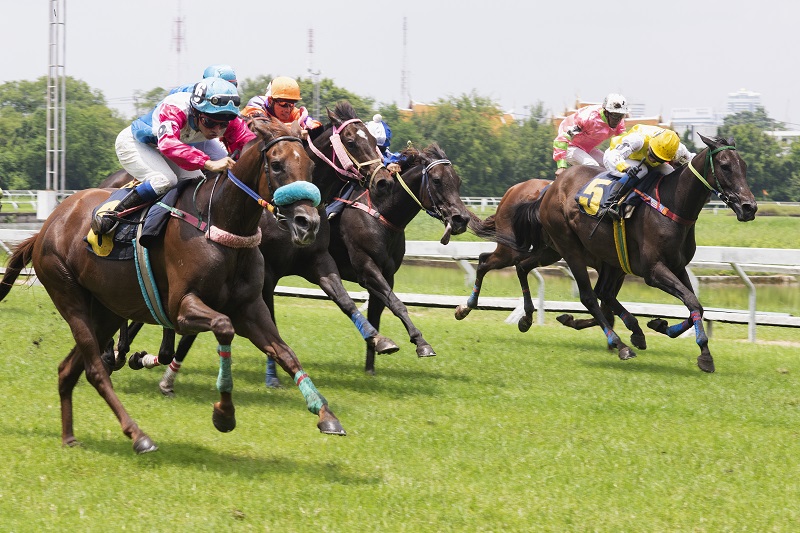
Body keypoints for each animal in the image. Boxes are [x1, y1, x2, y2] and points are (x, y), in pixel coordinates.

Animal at [0, 116, 346, 454]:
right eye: (276, 165)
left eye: (310, 166)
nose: (308, 223)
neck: (219, 223)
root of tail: (46, 227)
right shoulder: (182, 307)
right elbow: (223, 328)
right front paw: (224, 413)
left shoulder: (249, 308)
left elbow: (286, 353)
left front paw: (326, 415)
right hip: (68, 294)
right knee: (95, 370)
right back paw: (139, 436)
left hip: (107, 309)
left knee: (68, 369)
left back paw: (69, 437)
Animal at [328, 143, 478, 372]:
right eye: (436, 180)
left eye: (458, 181)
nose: (461, 219)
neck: (381, 213)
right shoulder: (367, 268)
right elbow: (397, 304)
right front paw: (421, 343)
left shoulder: (387, 274)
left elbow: (378, 312)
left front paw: (371, 366)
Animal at [512, 134, 756, 370]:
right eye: (725, 166)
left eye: (744, 166)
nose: (749, 207)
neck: (673, 204)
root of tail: (552, 187)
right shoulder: (653, 270)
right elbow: (693, 302)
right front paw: (705, 355)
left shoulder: (677, 266)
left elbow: (695, 303)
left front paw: (661, 325)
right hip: (570, 248)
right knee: (589, 297)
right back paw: (620, 345)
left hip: (569, 252)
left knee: (527, 267)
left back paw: (528, 318)